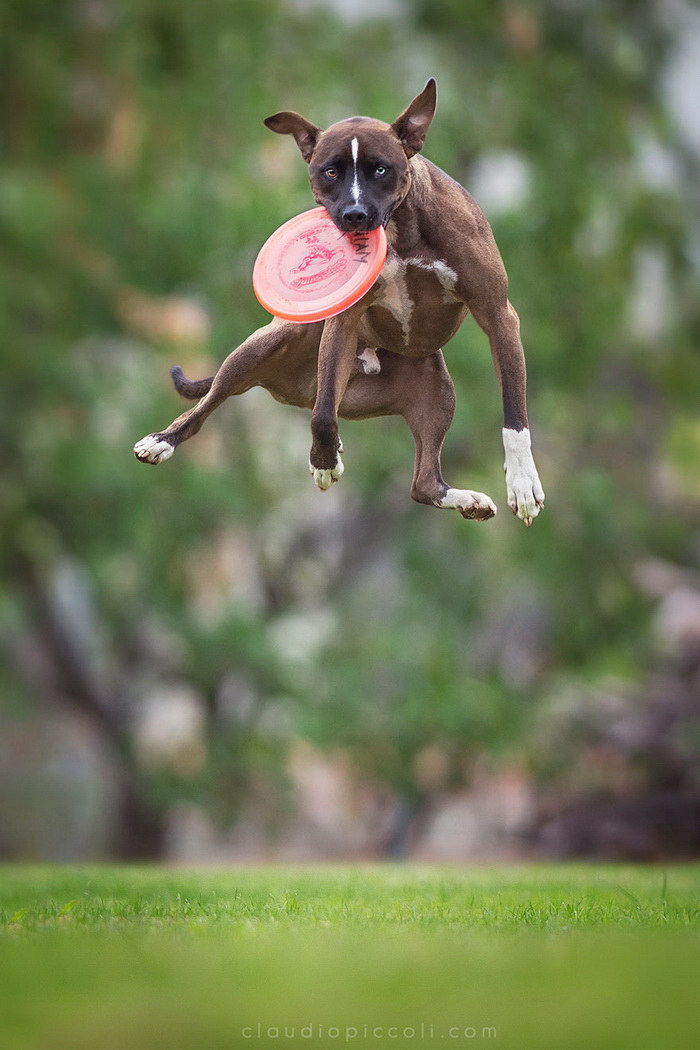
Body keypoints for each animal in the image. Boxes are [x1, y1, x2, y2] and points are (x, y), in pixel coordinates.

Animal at [134, 79, 545, 525]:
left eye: (381, 169)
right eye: (330, 171)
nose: (355, 214)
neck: (402, 231)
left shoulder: (497, 315)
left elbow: (514, 417)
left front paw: (522, 483)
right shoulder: (342, 326)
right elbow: (322, 415)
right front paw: (324, 461)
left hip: (437, 392)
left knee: (424, 483)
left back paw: (468, 499)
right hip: (260, 350)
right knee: (209, 408)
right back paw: (163, 439)